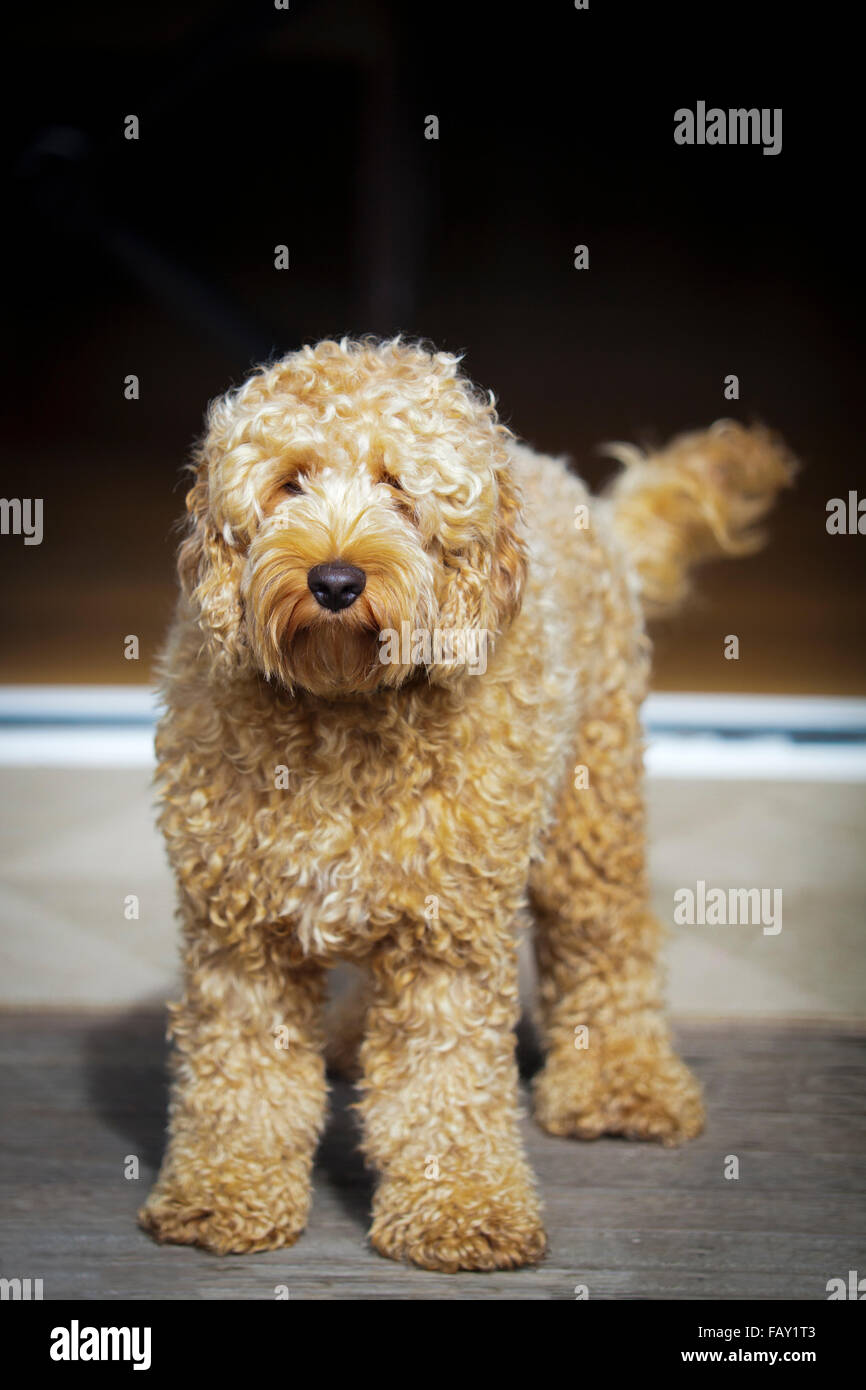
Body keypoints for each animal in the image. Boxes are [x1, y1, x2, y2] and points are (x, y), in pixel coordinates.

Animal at [139, 336, 795, 1273]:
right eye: (290, 482)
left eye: (400, 489)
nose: (333, 579)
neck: (345, 705)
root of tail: (564, 477)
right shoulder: (241, 932)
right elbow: (240, 1072)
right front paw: (223, 1192)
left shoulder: (449, 938)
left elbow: (444, 1082)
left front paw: (459, 1209)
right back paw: (351, 1040)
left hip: (590, 805)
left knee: (608, 937)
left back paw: (621, 1083)